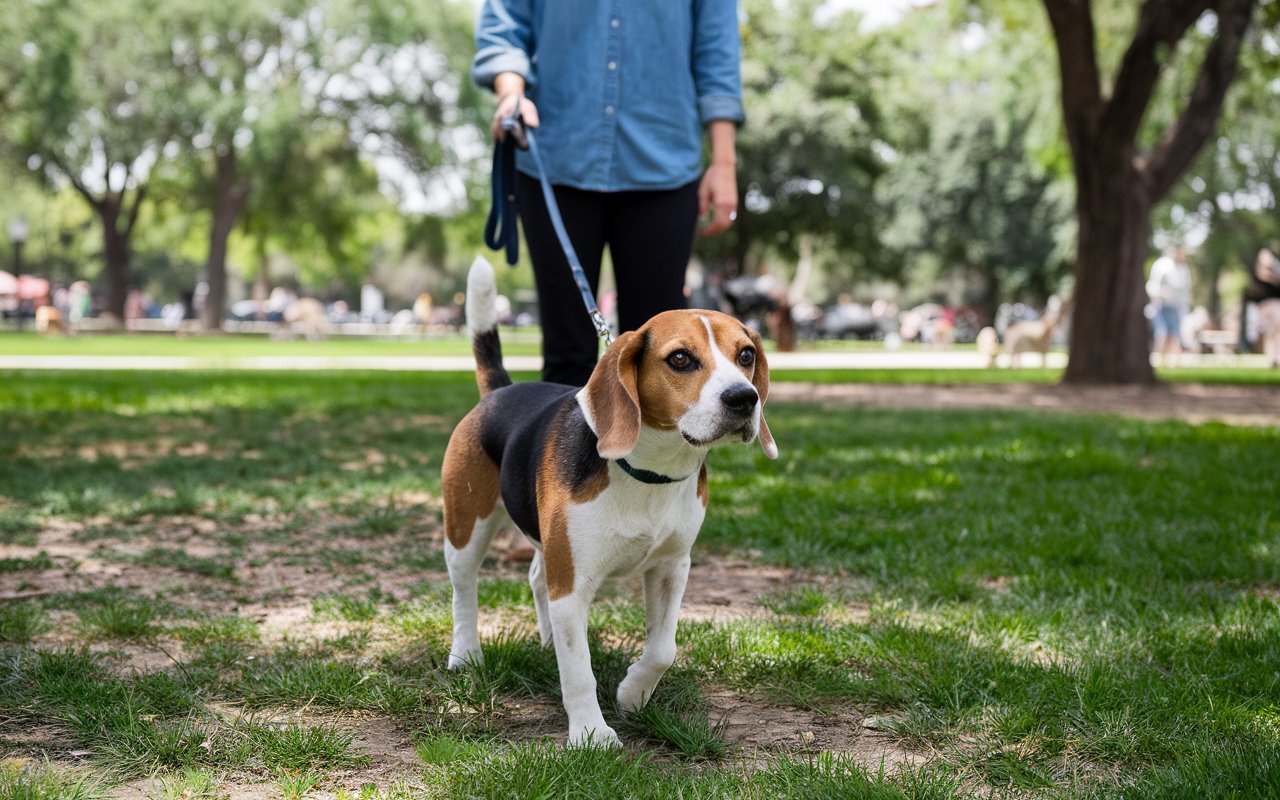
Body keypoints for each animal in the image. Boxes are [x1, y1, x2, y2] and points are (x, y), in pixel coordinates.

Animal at [445, 258, 773, 747]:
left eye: (746, 355)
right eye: (680, 358)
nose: (743, 399)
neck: (651, 472)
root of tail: (500, 390)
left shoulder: (672, 565)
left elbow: (663, 648)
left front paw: (634, 693)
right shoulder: (572, 585)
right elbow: (579, 672)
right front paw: (590, 734)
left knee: (537, 576)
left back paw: (547, 642)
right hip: (466, 527)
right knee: (464, 589)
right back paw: (466, 654)